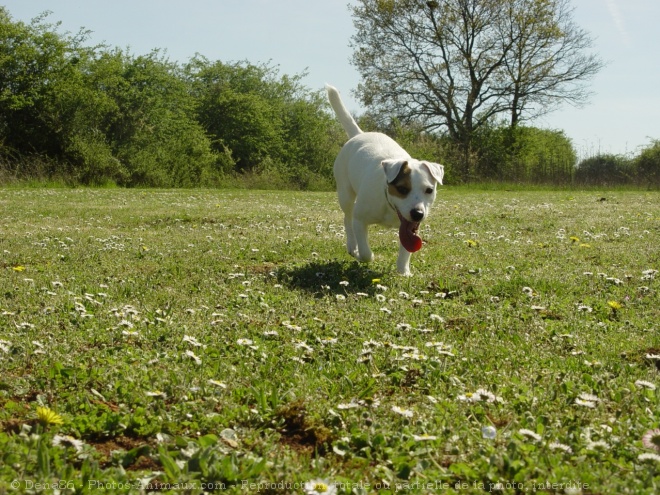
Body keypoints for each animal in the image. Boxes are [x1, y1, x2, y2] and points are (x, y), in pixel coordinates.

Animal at [324, 86, 444, 278]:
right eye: (402, 189)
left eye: (429, 190)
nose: (418, 214)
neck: (389, 206)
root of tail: (359, 134)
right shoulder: (360, 219)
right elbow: (365, 251)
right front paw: (363, 255)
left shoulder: (410, 228)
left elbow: (405, 250)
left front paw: (403, 271)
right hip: (345, 194)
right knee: (347, 219)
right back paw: (352, 246)